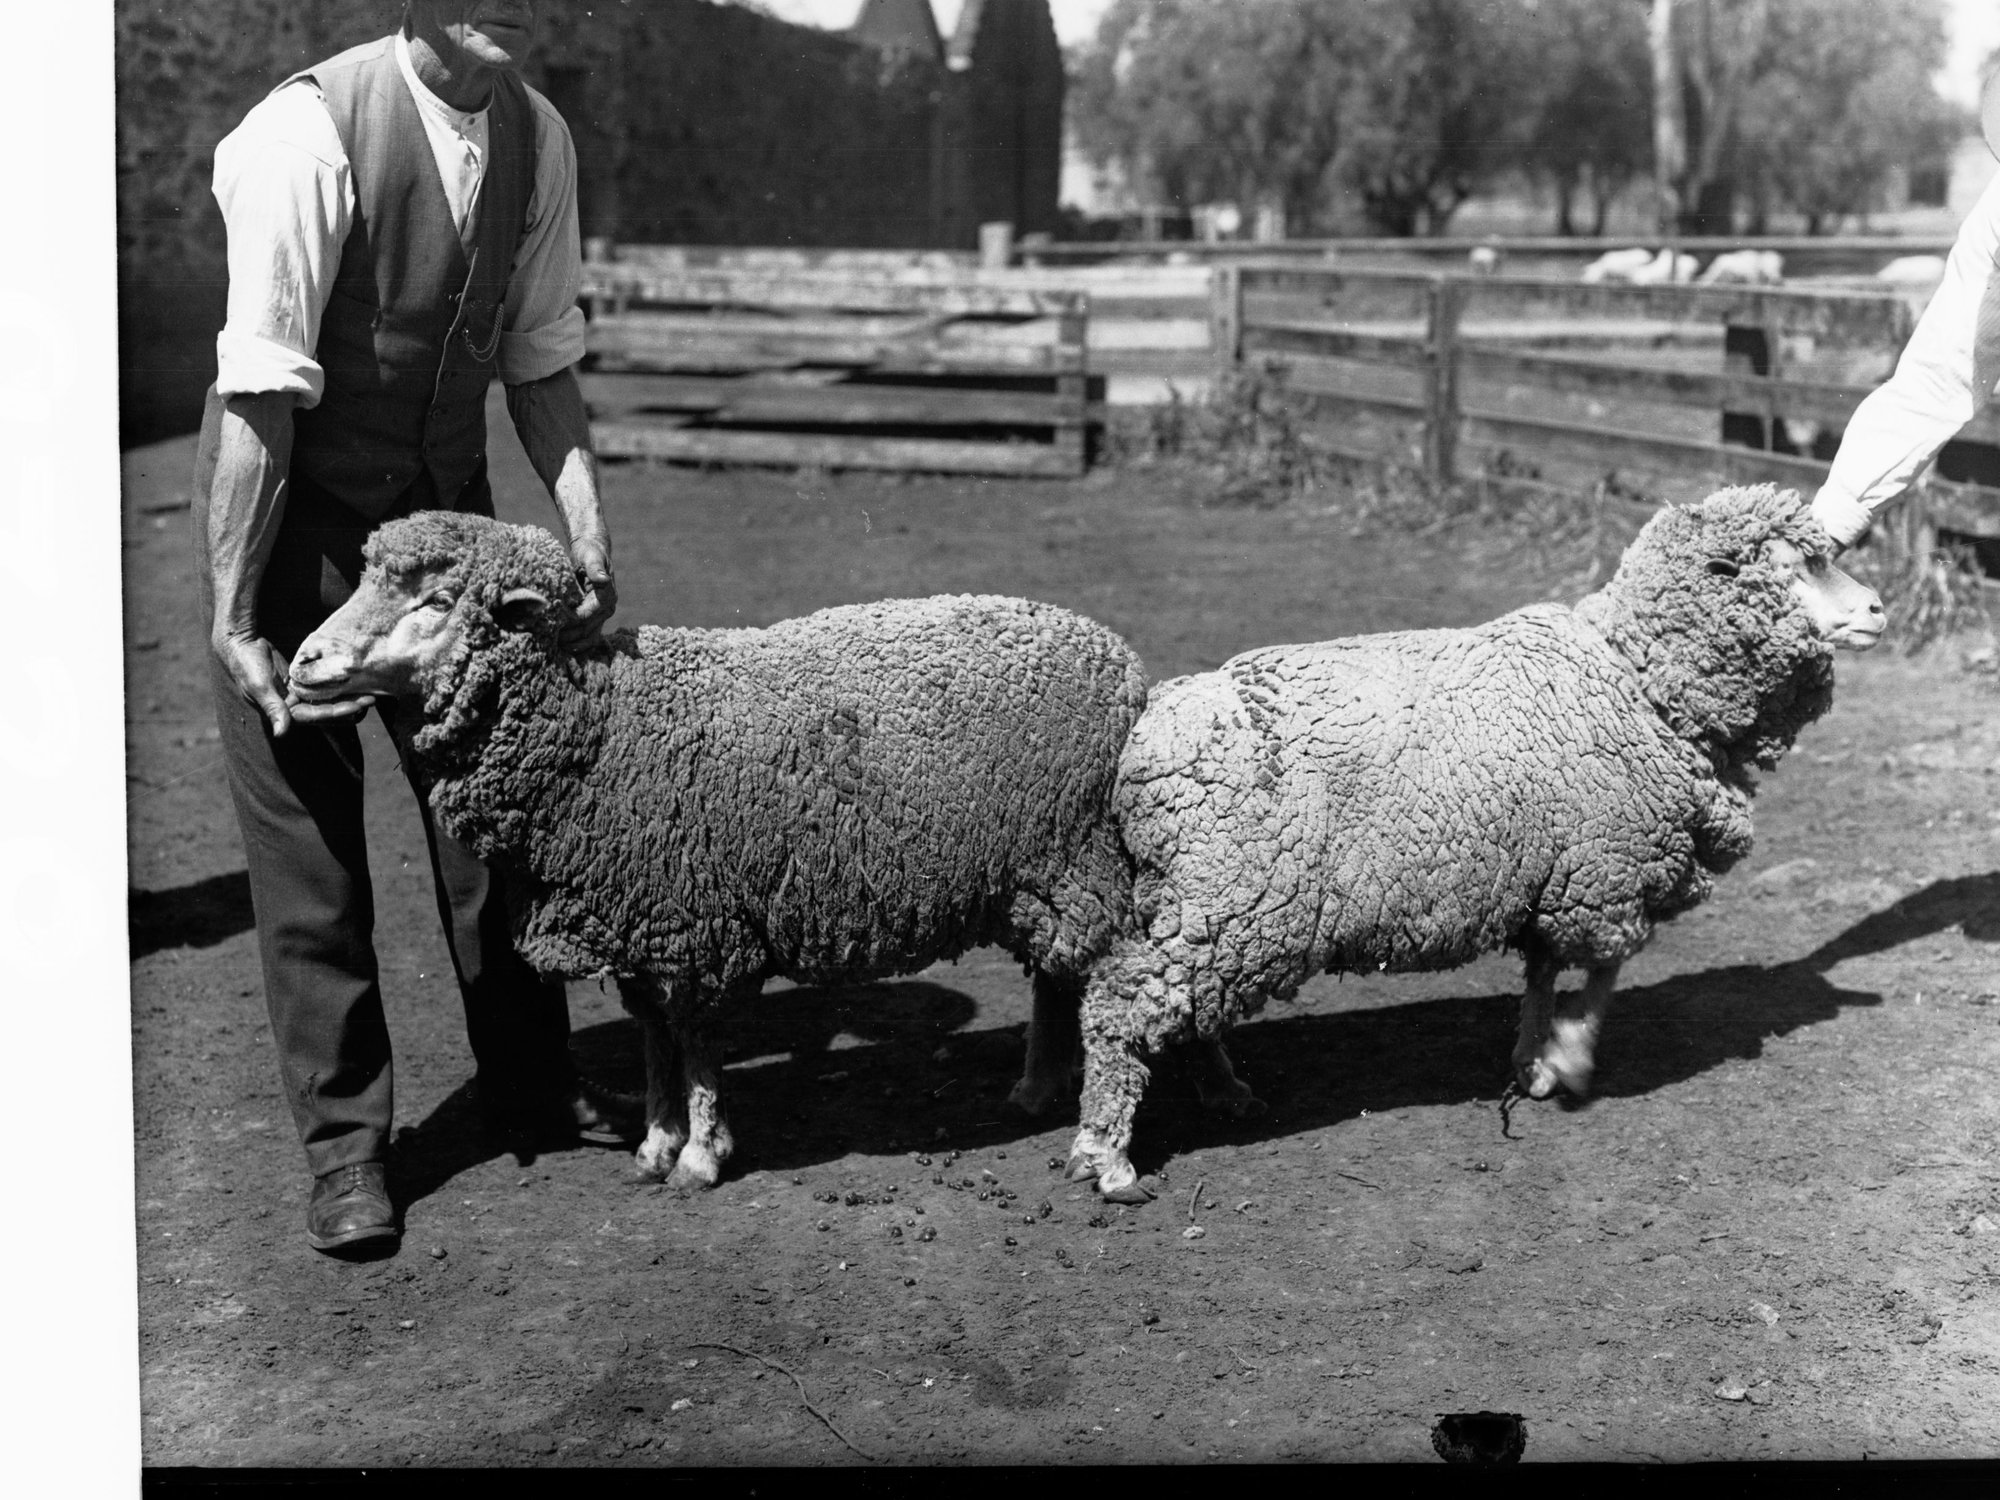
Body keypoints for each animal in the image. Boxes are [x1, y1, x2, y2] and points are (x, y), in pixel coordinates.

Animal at [283, 510, 1152, 1192]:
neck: (602, 726)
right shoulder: (638, 919)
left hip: (1075, 860)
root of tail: (1119, 659)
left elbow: (695, 1044)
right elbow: (653, 1040)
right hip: (1038, 876)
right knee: (1054, 977)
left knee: (1103, 985)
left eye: (435, 600)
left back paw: (1092, 1132)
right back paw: (1037, 1086)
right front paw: (655, 1142)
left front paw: (700, 1155)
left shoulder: (692, 923)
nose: (302, 663)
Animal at [1062, 485, 1883, 1202]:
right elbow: (1605, 971)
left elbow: (1544, 973)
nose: (1878, 607)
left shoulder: (1560, 873)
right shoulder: (1606, 869)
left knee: (1178, 1004)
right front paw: (1570, 1061)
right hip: (1242, 899)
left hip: (1207, 907)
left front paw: (1532, 1061)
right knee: (1120, 1003)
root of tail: (1147, 735)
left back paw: (1224, 1090)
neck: (1639, 682)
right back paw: (1108, 1157)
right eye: (1795, 564)